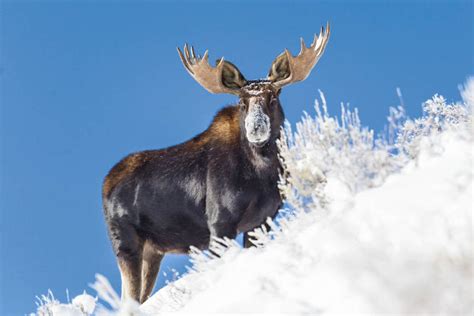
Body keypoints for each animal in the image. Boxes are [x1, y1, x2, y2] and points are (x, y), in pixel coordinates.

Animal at [102, 23, 330, 304]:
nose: (256, 127)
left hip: (153, 250)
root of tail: (106, 184)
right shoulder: (220, 222)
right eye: (241, 102)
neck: (262, 173)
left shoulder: (263, 220)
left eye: (274, 97)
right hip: (125, 242)